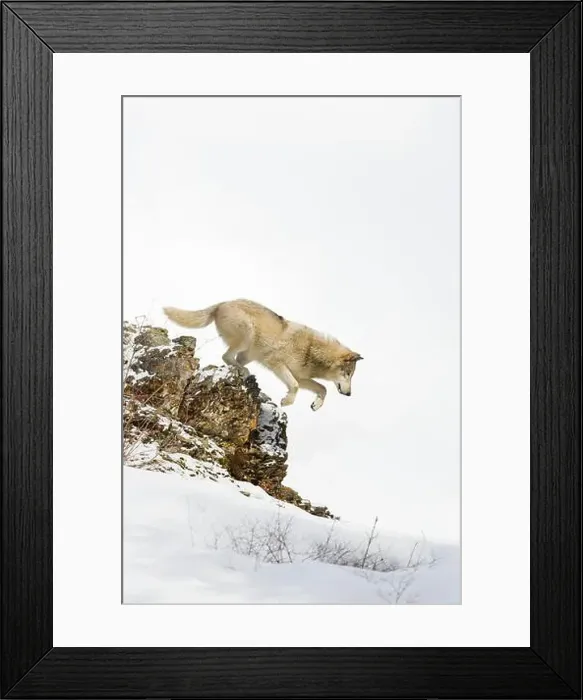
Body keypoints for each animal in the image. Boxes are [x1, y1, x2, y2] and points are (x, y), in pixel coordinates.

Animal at [163, 299, 362, 411]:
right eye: (347, 374)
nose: (350, 394)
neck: (311, 352)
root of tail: (222, 303)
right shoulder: (277, 364)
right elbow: (295, 386)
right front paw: (286, 401)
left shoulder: (301, 376)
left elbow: (323, 388)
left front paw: (316, 405)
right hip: (248, 336)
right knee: (226, 357)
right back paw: (244, 372)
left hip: (249, 353)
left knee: (232, 359)